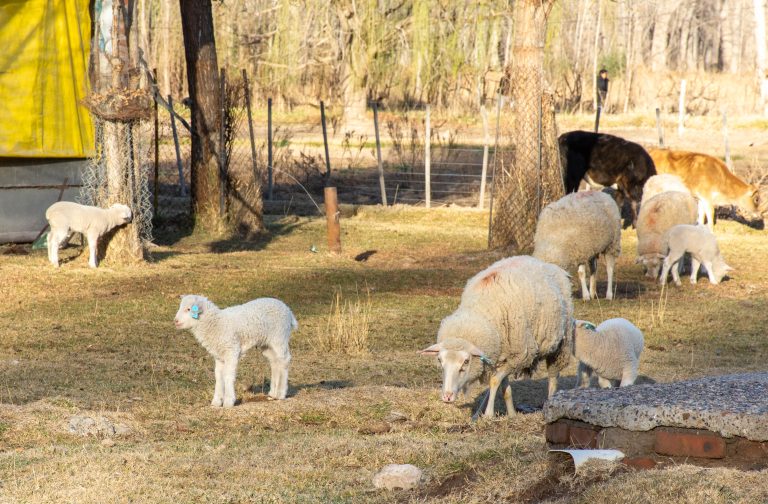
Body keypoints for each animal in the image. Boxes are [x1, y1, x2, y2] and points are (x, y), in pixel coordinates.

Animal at [416, 256, 572, 418]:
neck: (482, 311)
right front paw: (511, 414)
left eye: (466, 361)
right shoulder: (503, 356)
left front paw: (488, 414)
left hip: (561, 345)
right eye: (440, 360)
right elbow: (505, 389)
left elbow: (494, 381)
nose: (447, 396)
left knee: (553, 376)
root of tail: (541, 261)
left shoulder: (519, 356)